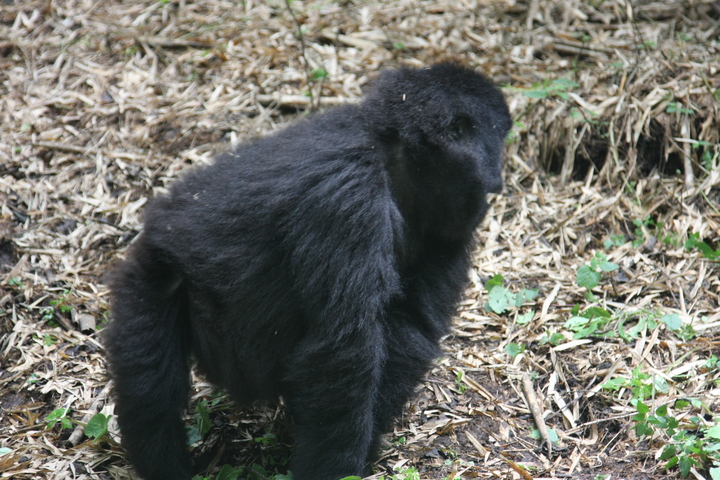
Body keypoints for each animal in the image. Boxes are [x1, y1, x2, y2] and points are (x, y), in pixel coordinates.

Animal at [104, 62, 511, 480]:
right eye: (496, 142)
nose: (496, 180)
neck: (395, 154)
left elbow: (408, 327)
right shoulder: (348, 198)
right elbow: (343, 350)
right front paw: (336, 468)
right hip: (150, 275)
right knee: (151, 382)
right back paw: (161, 460)